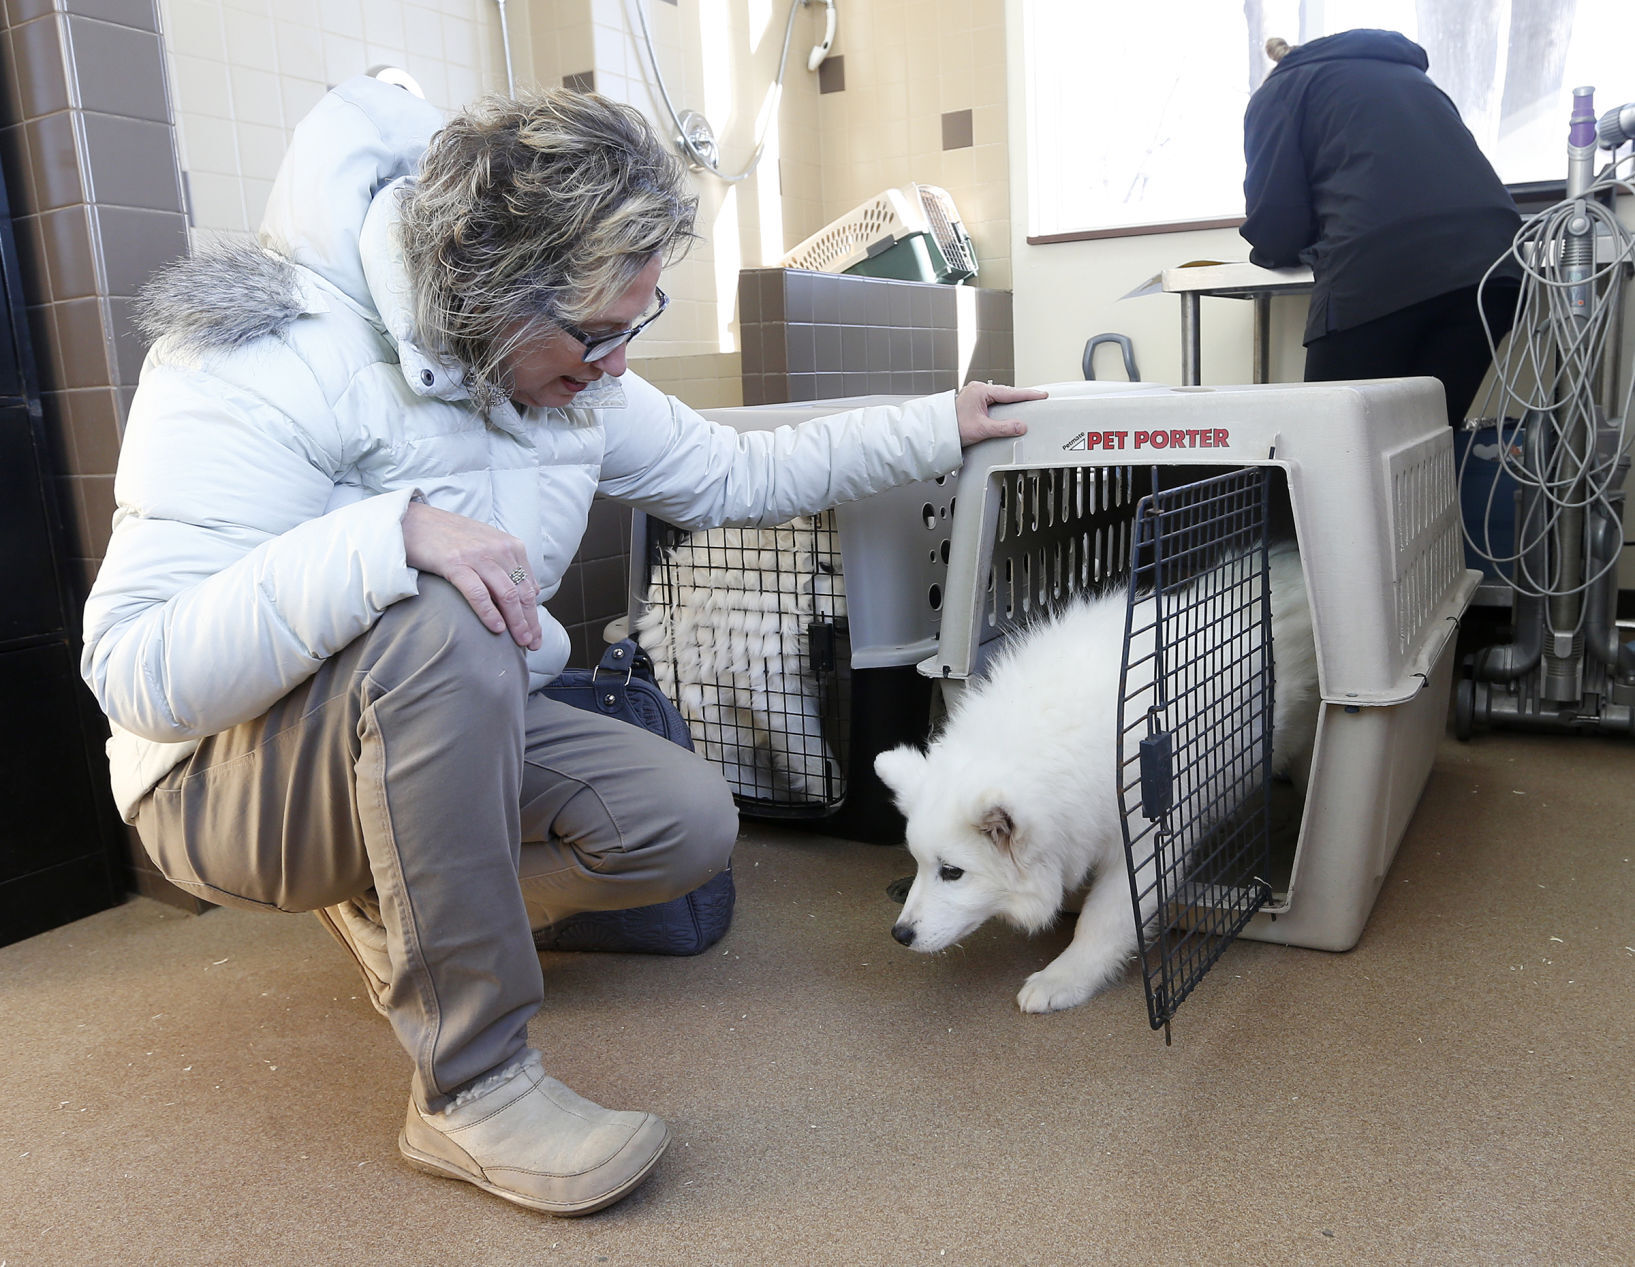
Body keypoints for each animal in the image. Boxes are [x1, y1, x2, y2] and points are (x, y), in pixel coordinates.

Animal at [876, 542, 1321, 1013]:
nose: (900, 935)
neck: (1054, 737)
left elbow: (1103, 920)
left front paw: (1063, 978)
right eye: (919, 863)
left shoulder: (1144, 846)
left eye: (952, 872)